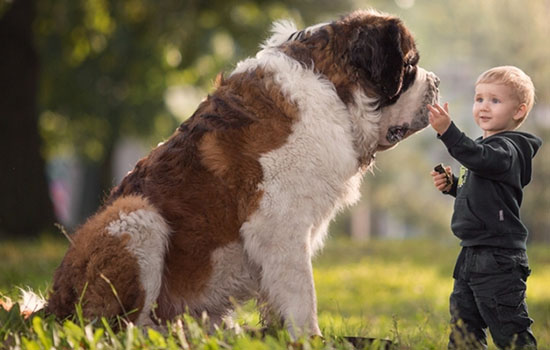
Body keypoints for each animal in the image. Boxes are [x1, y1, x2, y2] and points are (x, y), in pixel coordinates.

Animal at [45, 9, 442, 338]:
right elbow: (302, 294)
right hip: (135, 216)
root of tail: (51, 306)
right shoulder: (279, 226)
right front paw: (311, 339)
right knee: (119, 328)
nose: (437, 81)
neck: (333, 90)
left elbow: (279, 296)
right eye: (410, 66)